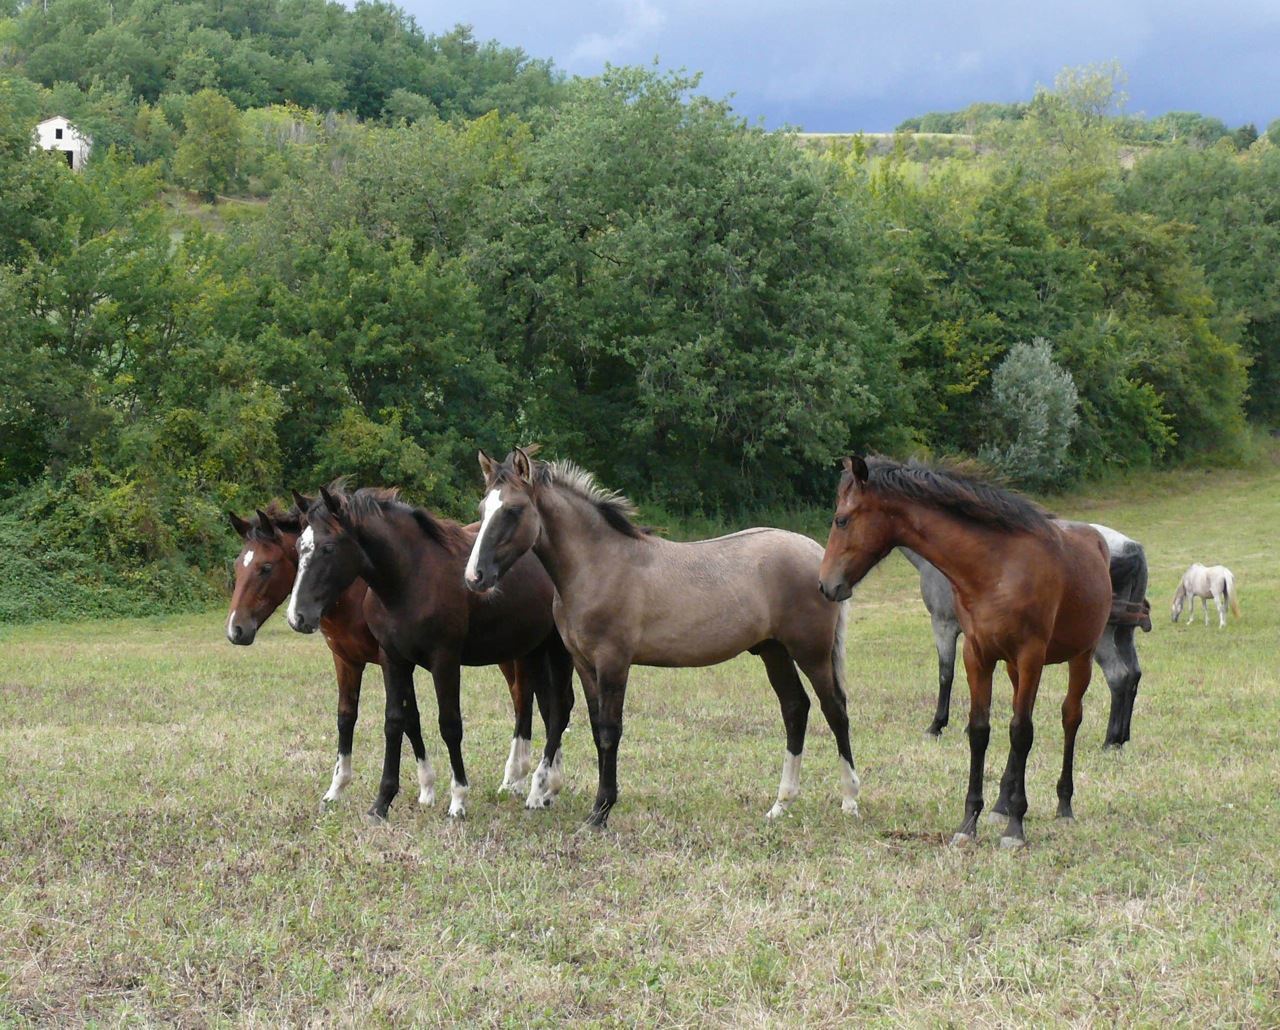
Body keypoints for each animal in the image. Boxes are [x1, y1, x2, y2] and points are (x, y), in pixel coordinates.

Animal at [225, 501, 535, 808]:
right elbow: (349, 716)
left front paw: (426, 788)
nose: (235, 630)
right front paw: (337, 788)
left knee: (521, 700)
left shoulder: (393, 660)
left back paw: (517, 781)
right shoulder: (348, 660)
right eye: (238, 566)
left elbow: (408, 719)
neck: (356, 591)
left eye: (265, 567)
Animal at [290, 481, 576, 818]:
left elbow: (449, 725)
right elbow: (395, 721)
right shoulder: (393, 658)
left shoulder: (445, 660)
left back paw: (540, 789)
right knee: (546, 707)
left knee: (560, 709)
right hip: (532, 649)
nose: (298, 616)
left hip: (557, 650)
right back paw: (544, 789)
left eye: (328, 548)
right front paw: (382, 801)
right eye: (299, 546)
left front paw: (458, 800)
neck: (411, 579)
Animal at [463, 447, 860, 829]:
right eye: (483, 509)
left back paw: (850, 801)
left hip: (811, 653)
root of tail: (817, 557)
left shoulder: (613, 662)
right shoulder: (584, 663)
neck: (598, 565)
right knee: (795, 709)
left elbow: (609, 731)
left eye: (513, 510)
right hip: (773, 651)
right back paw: (780, 805)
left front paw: (600, 813)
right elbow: (594, 727)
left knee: (835, 710)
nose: (475, 577)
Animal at [901, 522, 1152, 747]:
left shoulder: (943, 624)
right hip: (1123, 634)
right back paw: (1122, 737)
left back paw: (1110, 740)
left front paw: (936, 725)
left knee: (1118, 676)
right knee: (1133, 674)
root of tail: (1131, 547)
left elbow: (946, 674)